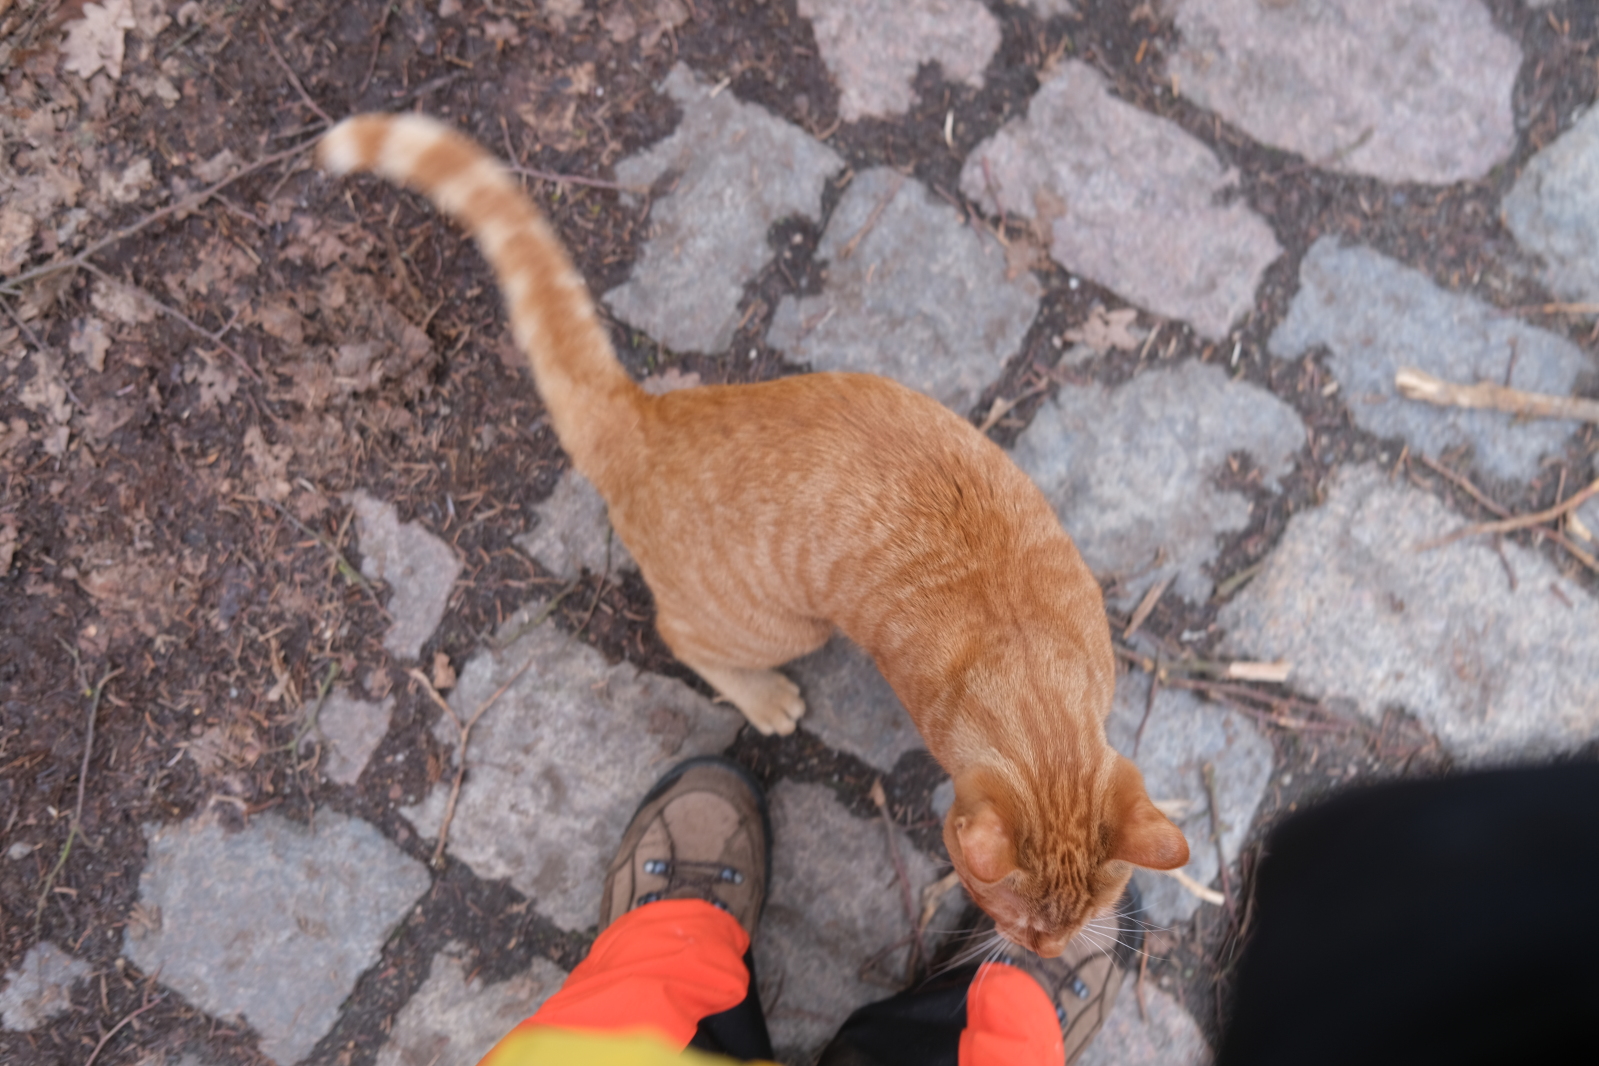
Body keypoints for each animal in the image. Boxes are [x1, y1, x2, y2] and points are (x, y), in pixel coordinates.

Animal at [319, 113, 1189, 957]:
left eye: (1077, 920)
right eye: (1009, 917)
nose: (1045, 953)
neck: (1031, 665)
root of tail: (650, 419)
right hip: (780, 626)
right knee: (679, 635)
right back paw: (761, 694)